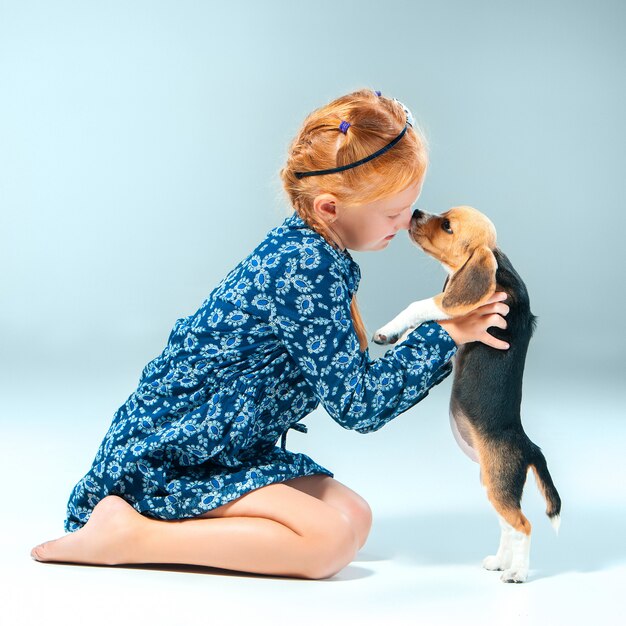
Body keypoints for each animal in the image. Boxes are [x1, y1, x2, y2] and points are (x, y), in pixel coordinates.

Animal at [370, 205, 560, 580]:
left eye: (447, 226)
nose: (415, 211)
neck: (498, 264)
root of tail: (529, 445)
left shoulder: (450, 304)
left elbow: (417, 306)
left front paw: (388, 331)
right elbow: (420, 323)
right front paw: (399, 337)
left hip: (499, 483)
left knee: (523, 526)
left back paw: (517, 573)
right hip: (492, 484)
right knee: (508, 525)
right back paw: (500, 561)